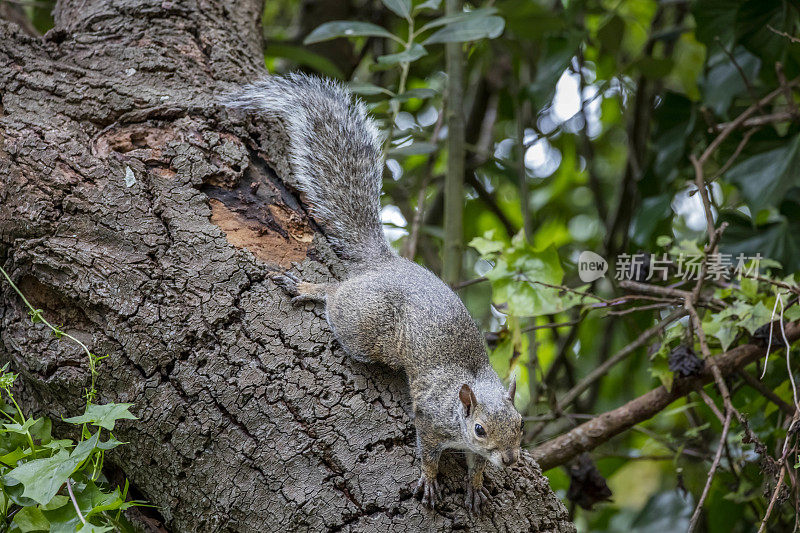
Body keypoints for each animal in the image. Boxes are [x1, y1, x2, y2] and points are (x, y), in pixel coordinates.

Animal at [223, 72, 524, 512]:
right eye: (480, 429)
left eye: (521, 423)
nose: (511, 459)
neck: (464, 394)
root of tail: (383, 263)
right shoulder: (430, 418)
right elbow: (429, 453)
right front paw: (430, 479)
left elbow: (476, 467)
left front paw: (478, 482)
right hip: (364, 327)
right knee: (337, 296)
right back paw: (312, 288)